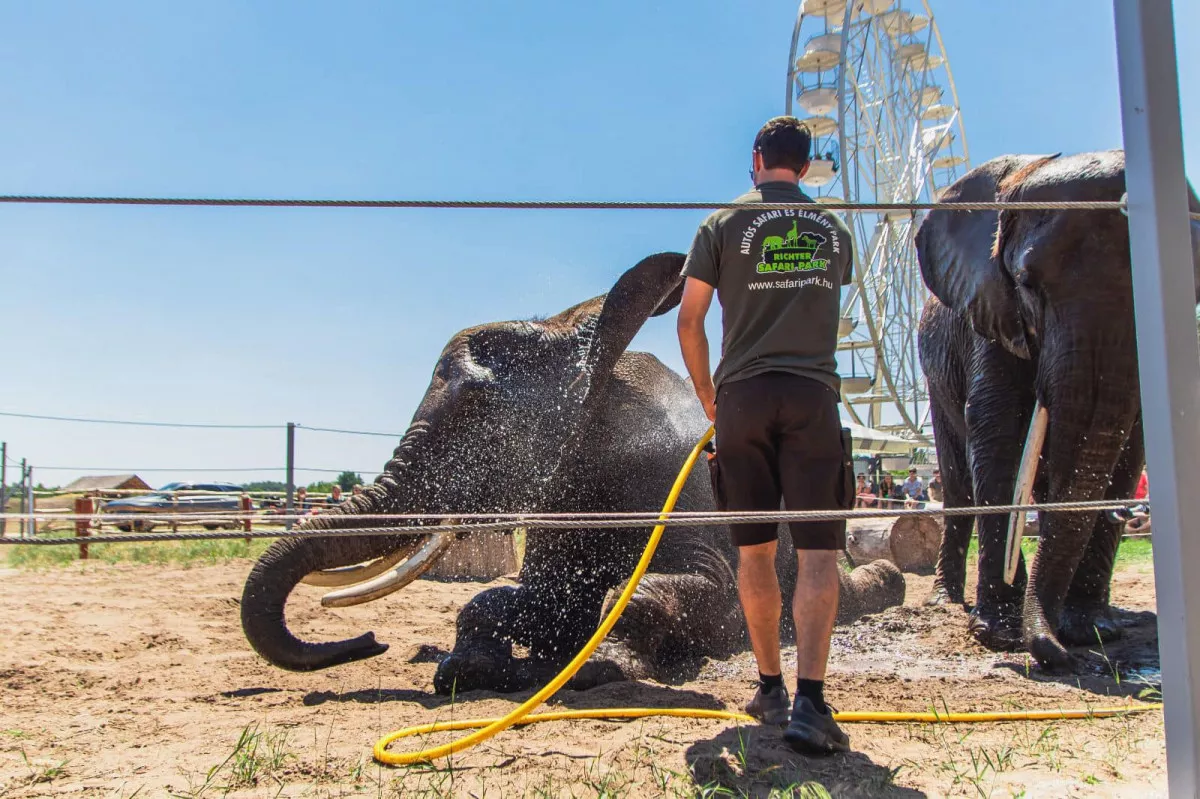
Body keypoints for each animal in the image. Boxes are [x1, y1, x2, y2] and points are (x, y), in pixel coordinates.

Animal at [238, 250, 902, 691]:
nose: (369, 642)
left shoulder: (681, 495)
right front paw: (467, 671)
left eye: (479, 416)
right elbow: (513, 597)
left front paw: (601, 669)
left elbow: (694, 594)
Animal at [912, 147, 1195, 667]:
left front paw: (1091, 630)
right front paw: (999, 634)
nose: (1057, 654)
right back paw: (946, 601)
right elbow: (998, 436)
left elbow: (1129, 450)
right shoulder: (988, 311)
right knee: (958, 481)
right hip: (935, 375)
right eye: (1026, 283)